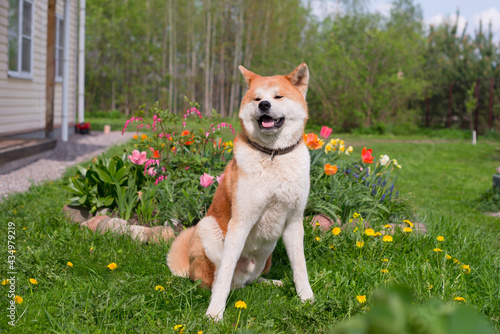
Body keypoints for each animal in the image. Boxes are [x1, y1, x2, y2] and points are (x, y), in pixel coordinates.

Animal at [170, 63, 314, 320]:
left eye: (278, 96)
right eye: (257, 98)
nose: (264, 105)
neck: (273, 155)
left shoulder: (294, 221)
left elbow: (300, 267)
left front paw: (306, 298)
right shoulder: (241, 221)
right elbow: (224, 274)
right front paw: (215, 313)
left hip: (266, 257)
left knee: (250, 281)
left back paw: (272, 282)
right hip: (206, 227)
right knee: (219, 280)